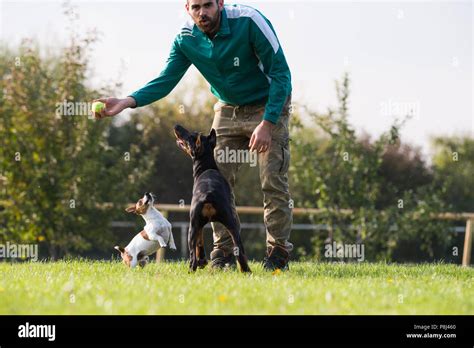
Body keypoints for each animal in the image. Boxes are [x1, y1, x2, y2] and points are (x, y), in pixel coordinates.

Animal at [172, 123, 250, 274]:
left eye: (190, 136)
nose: (177, 126)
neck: (206, 166)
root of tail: (208, 195)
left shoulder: (196, 224)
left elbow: (200, 241)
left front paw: (202, 260)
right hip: (232, 225)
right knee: (239, 250)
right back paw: (246, 270)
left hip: (193, 226)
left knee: (192, 256)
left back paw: (192, 269)